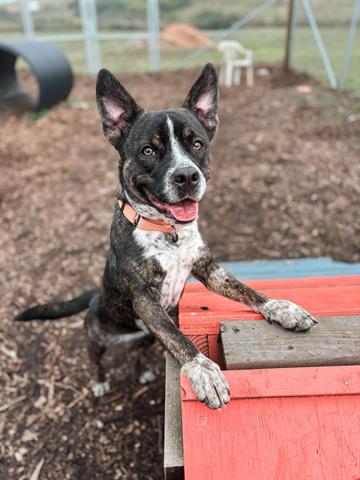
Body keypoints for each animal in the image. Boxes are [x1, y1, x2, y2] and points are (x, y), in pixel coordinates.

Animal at [15, 63, 316, 408]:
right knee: (98, 362)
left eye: (197, 144)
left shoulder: (209, 270)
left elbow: (246, 290)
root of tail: (94, 296)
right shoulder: (145, 300)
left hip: (146, 335)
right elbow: (177, 337)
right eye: (148, 150)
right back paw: (101, 383)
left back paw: (142, 371)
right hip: (97, 338)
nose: (187, 176)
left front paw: (282, 308)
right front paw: (203, 371)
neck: (167, 231)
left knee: (137, 352)